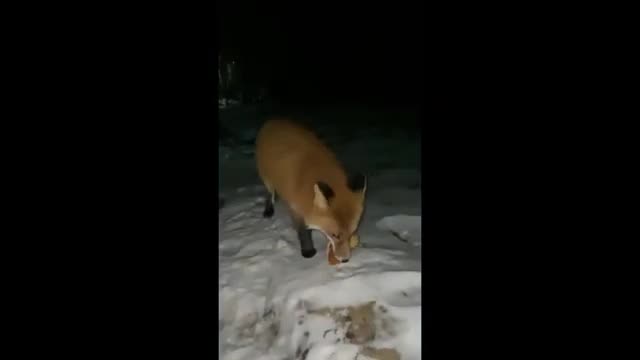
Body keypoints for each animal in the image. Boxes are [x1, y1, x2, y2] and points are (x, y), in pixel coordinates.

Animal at [254, 119, 364, 262]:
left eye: (351, 233)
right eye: (335, 235)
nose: (345, 260)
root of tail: (273, 120)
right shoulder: (296, 207)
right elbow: (303, 232)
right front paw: (308, 251)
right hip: (267, 179)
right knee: (270, 193)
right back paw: (268, 210)